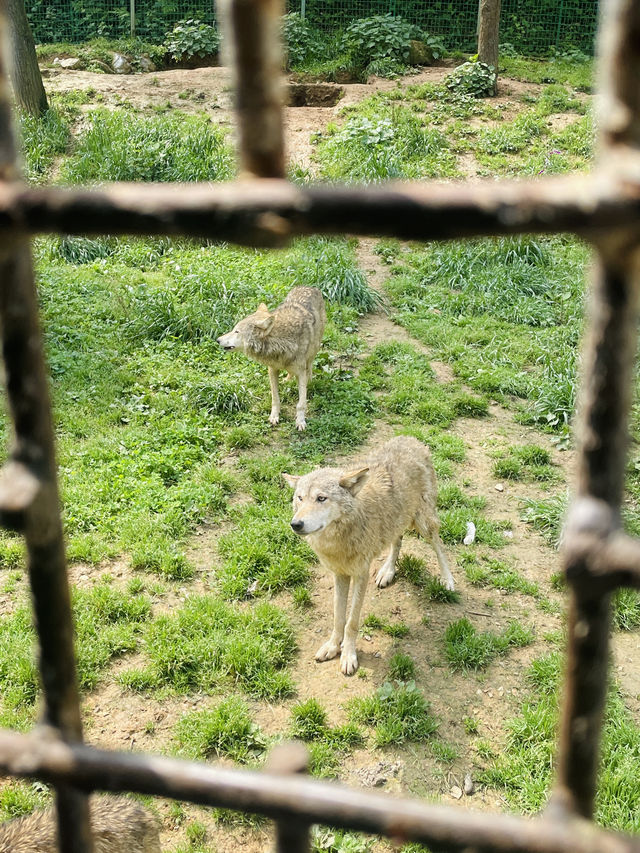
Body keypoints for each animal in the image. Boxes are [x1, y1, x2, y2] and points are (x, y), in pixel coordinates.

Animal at [216, 288, 324, 432]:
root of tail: (310, 287)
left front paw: (300, 422)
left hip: (314, 348)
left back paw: (309, 380)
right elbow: (275, 398)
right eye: (233, 329)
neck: (281, 343)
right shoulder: (272, 370)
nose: (217, 340)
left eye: (237, 332)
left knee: (310, 364)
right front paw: (274, 417)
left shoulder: (300, 372)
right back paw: (288, 380)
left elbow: (301, 403)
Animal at [282, 436, 452, 676]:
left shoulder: (360, 574)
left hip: (423, 523)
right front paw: (332, 647)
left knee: (438, 544)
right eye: (299, 498)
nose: (296, 524)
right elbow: (338, 617)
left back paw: (447, 580)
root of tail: (411, 438)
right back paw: (387, 572)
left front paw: (348, 656)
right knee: (397, 540)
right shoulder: (339, 574)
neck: (338, 540)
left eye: (321, 498)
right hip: (396, 521)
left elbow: (351, 622)